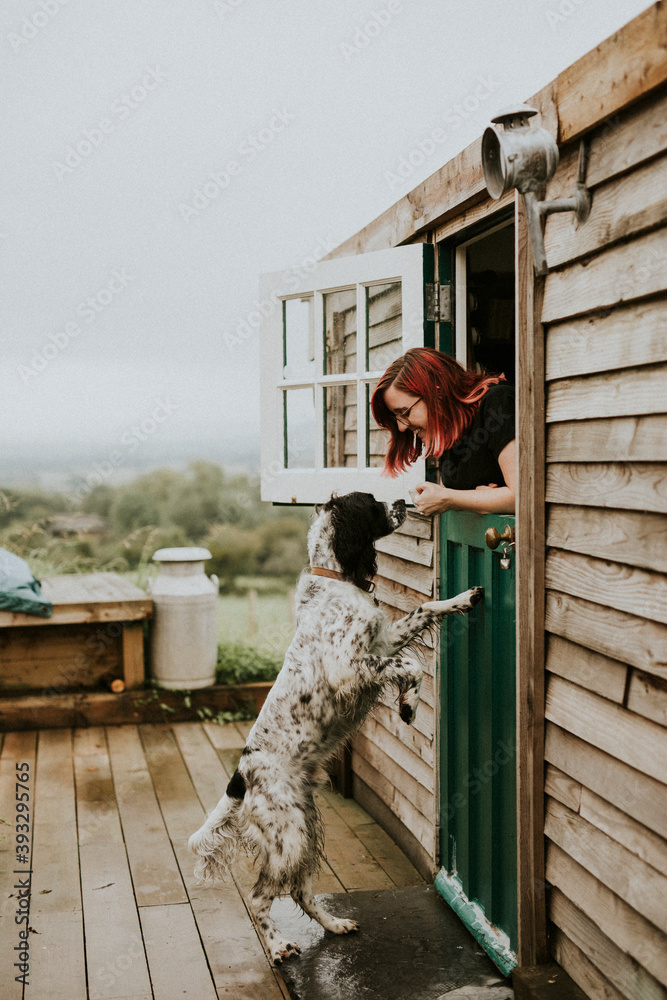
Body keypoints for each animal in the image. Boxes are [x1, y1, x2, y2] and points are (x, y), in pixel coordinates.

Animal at [190, 490, 482, 960]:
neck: (335, 581)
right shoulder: (349, 668)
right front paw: (409, 705)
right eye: (373, 503)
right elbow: (412, 665)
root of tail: (240, 776)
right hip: (288, 836)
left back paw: (335, 924)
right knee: (259, 897)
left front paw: (464, 599)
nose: (402, 500)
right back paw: (278, 947)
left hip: (306, 825)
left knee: (301, 891)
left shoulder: (384, 639)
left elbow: (424, 608)